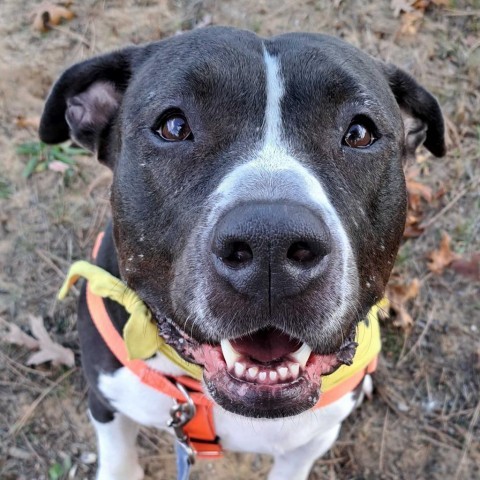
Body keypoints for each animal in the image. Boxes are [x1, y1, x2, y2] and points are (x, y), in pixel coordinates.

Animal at [38, 27, 446, 480]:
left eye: (359, 133)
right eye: (174, 126)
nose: (271, 241)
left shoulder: (311, 440)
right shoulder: (105, 399)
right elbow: (119, 461)